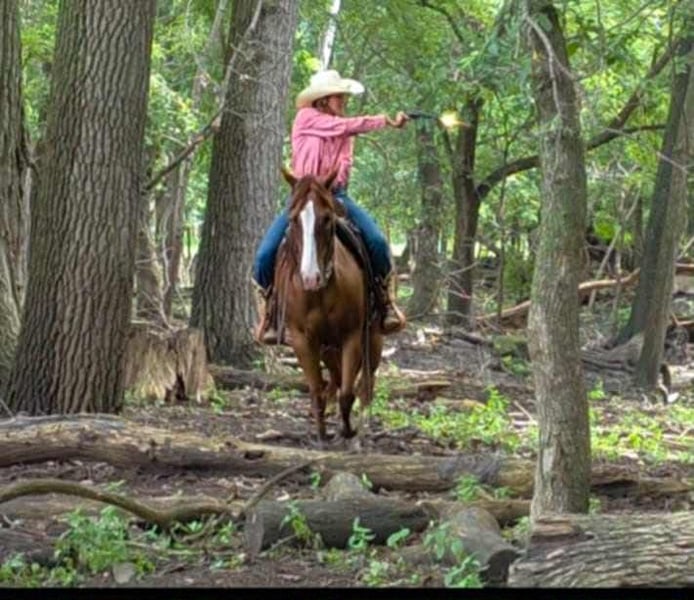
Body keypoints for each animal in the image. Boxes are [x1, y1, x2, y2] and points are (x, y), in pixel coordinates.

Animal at [273, 169, 383, 447]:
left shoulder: (352, 336)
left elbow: (348, 393)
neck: (319, 293)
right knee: (336, 376)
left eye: (326, 218)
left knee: (366, 383)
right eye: (293, 219)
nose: (310, 278)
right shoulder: (302, 339)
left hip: (374, 337)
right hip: (327, 347)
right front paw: (322, 435)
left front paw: (348, 431)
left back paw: (361, 431)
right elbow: (317, 389)